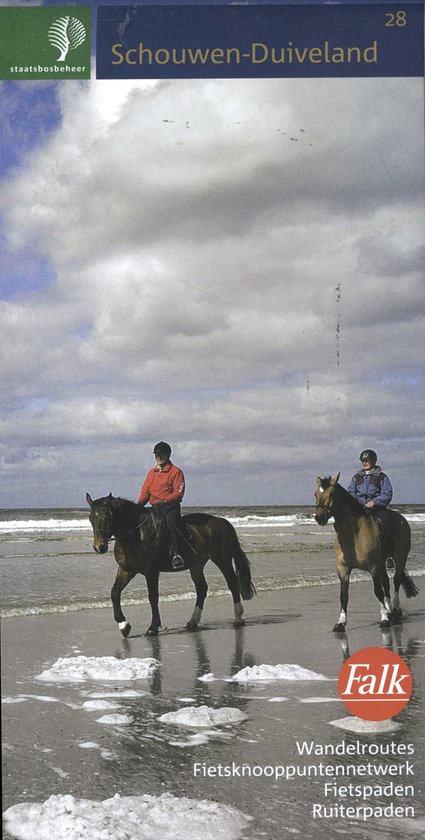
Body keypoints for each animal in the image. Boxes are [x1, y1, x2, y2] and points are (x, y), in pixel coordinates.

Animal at [314, 472, 416, 632]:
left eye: (332, 493)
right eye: (315, 494)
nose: (320, 517)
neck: (353, 535)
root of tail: (402, 519)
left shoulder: (373, 567)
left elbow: (378, 591)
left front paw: (384, 619)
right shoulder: (343, 569)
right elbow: (344, 595)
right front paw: (341, 622)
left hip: (400, 557)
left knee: (396, 580)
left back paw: (395, 610)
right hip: (382, 562)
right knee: (386, 582)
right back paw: (390, 610)